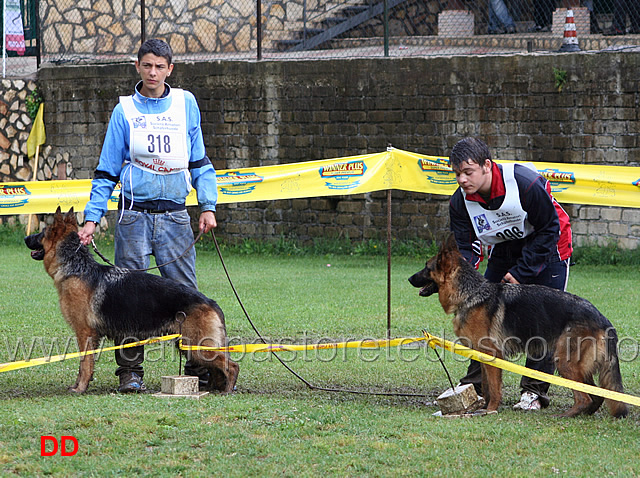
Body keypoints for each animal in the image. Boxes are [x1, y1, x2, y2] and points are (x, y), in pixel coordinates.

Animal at [24, 207, 240, 394]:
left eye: (42, 233)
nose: (25, 237)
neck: (76, 267)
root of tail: (211, 302)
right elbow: (85, 365)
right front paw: (80, 385)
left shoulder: (85, 334)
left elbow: (84, 364)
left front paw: (80, 388)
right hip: (190, 347)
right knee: (219, 368)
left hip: (197, 347)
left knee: (232, 365)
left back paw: (227, 390)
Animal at [410, 235, 632, 418]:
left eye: (426, 267)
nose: (409, 279)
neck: (471, 294)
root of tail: (603, 318)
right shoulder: (483, 356)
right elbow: (488, 386)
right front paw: (485, 407)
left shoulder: (492, 355)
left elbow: (494, 388)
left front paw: (491, 410)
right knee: (597, 395)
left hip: (565, 362)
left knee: (585, 397)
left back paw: (567, 415)